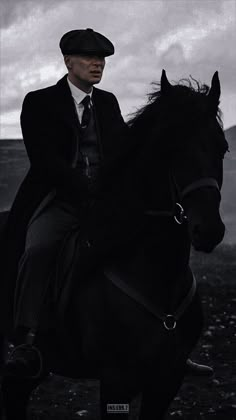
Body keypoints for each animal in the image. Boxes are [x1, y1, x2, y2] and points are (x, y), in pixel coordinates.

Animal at [0, 70, 229, 418]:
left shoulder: (168, 380)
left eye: (223, 148)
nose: (210, 230)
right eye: (168, 148)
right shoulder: (116, 380)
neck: (158, 276)